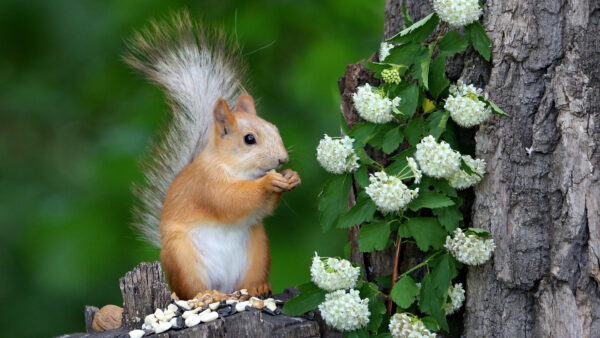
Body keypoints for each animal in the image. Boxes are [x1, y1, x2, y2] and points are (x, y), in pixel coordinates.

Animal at [124, 11, 300, 300]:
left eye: (275, 128)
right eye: (249, 139)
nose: (282, 160)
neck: (238, 169)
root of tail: (225, 287)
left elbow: (262, 209)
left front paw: (291, 177)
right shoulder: (206, 184)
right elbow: (231, 201)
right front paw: (268, 182)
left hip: (258, 248)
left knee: (247, 282)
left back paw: (258, 287)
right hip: (182, 257)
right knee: (191, 288)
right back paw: (206, 295)